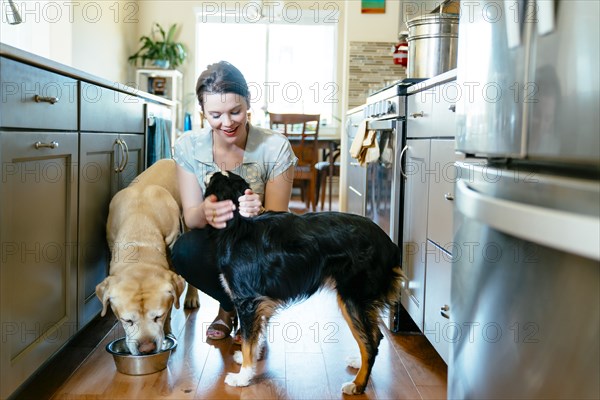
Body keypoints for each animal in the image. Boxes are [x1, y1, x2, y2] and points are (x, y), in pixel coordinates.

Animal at [206, 170, 404, 394]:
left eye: (213, 179)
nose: (209, 171)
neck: (238, 223)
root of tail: (389, 244)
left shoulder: (248, 302)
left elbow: (249, 341)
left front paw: (243, 377)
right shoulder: (260, 303)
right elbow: (256, 337)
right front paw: (249, 362)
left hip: (353, 298)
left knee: (369, 343)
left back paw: (357, 385)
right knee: (375, 335)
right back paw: (357, 362)